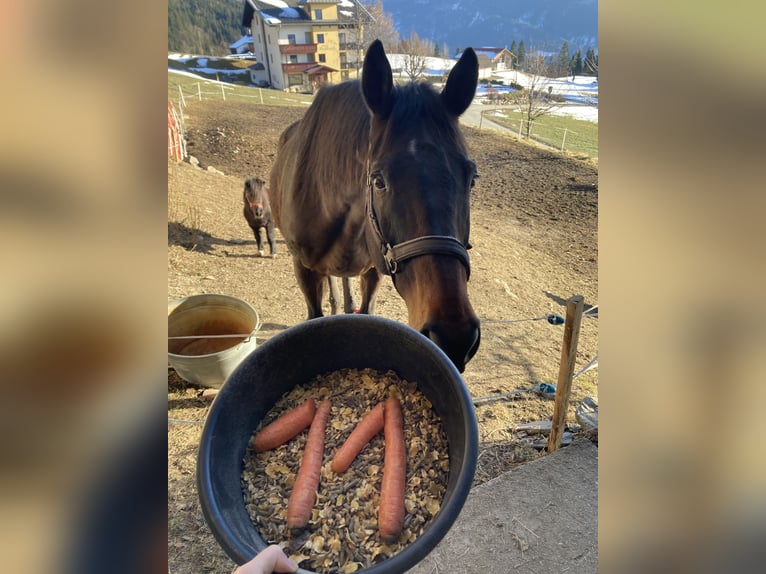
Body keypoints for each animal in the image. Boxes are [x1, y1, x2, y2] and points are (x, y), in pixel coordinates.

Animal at [269, 40, 480, 372]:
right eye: (379, 181)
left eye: (471, 178)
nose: (453, 336)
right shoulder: (303, 268)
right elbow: (314, 314)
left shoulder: (373, 271)